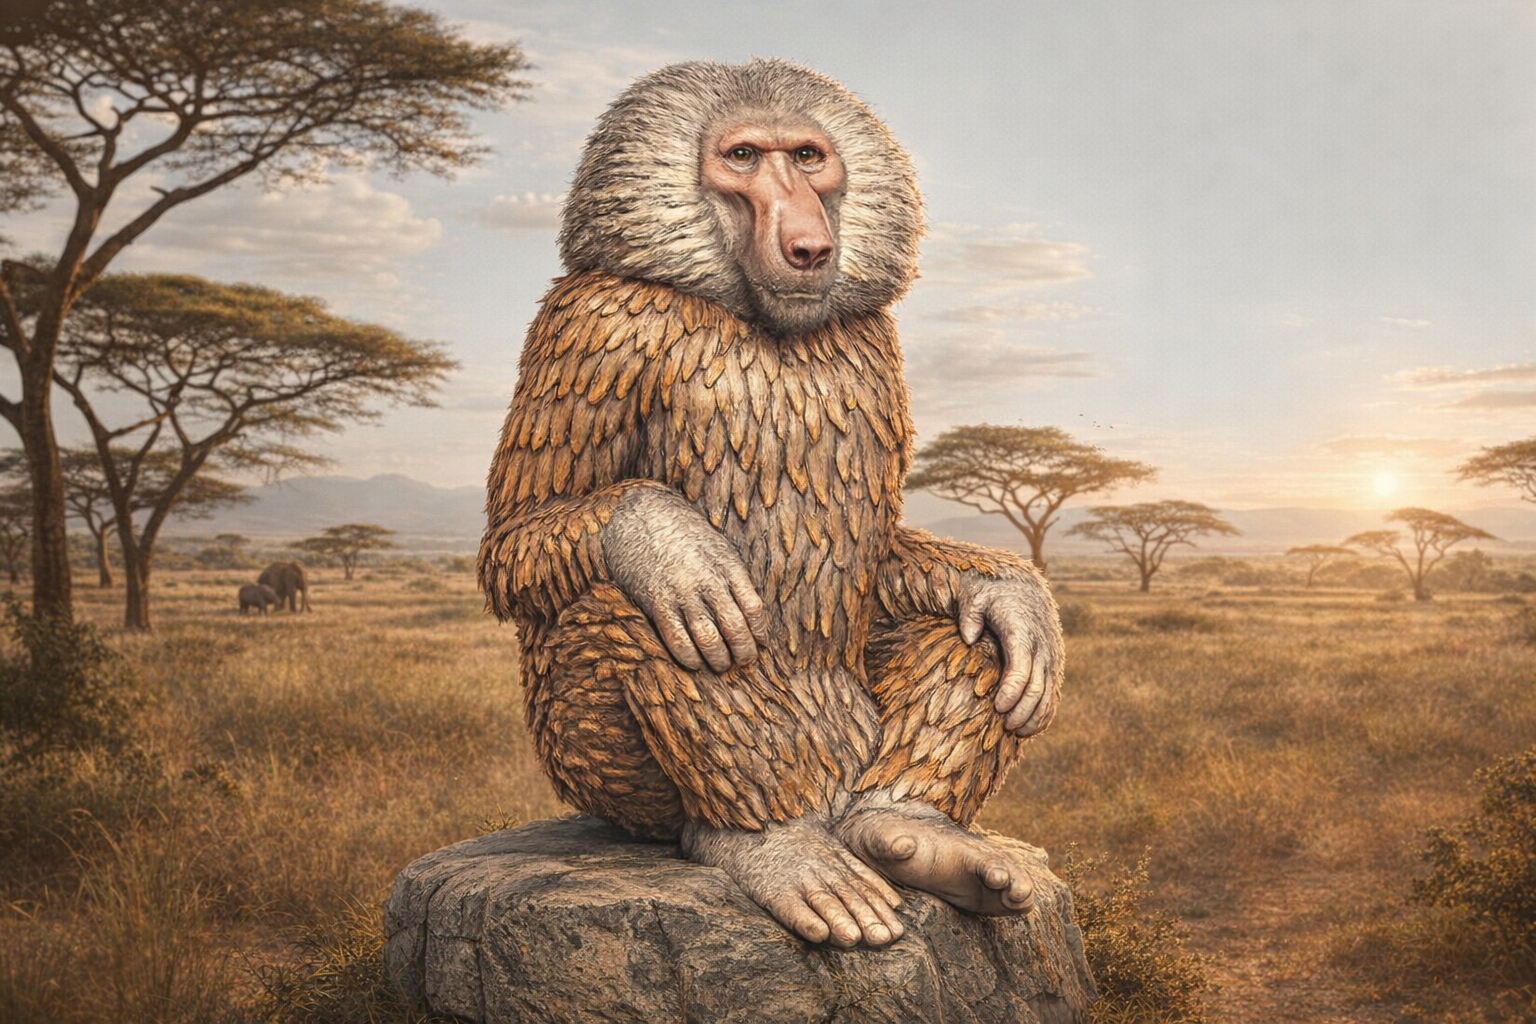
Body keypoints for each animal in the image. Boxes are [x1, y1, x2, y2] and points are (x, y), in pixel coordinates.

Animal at [480, 58, 1064, 949]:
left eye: (809, 157)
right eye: (744, 156)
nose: (809, 245)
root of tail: (827, 792)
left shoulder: (875, 341)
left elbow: (895, 559)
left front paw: (1010, 590)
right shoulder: (594, 322)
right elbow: (514, 542)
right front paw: (662, 538)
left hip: (856, 748)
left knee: (979, 648)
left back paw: (909, 831)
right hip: (605, 780)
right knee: (648, 611)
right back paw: (769, 840)